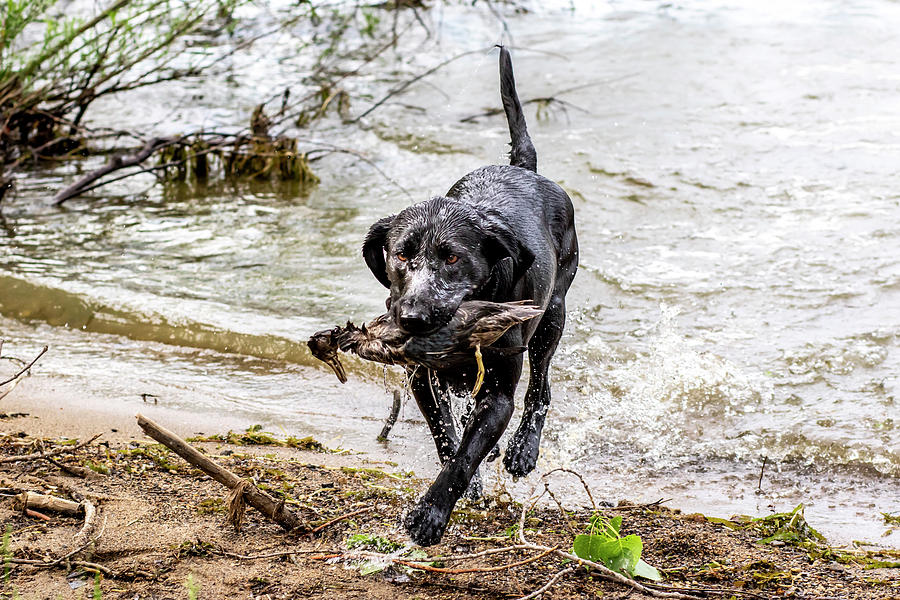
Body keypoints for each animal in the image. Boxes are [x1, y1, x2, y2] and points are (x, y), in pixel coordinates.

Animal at [360, 45, 576, 544]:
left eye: (453, 257)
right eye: (402, 254)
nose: (412, 318)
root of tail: (523, 169)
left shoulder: (497, 394)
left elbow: (463, 456)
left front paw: (431, 514)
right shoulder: (422, 379)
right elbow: (447, 437)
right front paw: (468, 482)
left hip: (552, 316)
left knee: (541, 386)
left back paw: (522, 450)